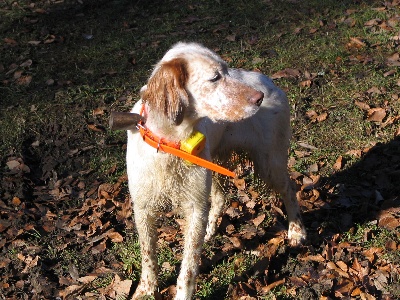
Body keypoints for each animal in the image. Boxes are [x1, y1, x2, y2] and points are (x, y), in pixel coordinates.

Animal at [126, 42, 306, 300]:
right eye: (214, 78)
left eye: (227, 71)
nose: (259, 98)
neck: (171, 145)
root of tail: (270, 81)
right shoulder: (143, 207)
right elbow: (148, 254)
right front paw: (146, 289)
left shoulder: (194, 206)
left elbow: (189, 266)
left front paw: (182, 295)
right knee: (221, 198)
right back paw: (210, 231)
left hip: (269, 163)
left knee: (290, 189)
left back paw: (296, 231)